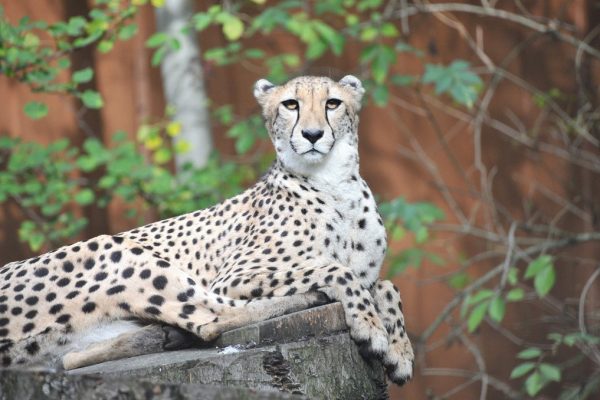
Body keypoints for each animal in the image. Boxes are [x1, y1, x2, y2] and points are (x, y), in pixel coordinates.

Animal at [0, 74, 412, 384]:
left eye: (333, 103)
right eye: (291, 105)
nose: (312, 135)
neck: (333, 182)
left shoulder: (369, 272)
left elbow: (387, 285)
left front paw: (401, 350)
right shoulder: (234, 276)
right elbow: (338, 270)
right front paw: (372, 327)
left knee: (73, 358)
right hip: (116, 251)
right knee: (212, 318)